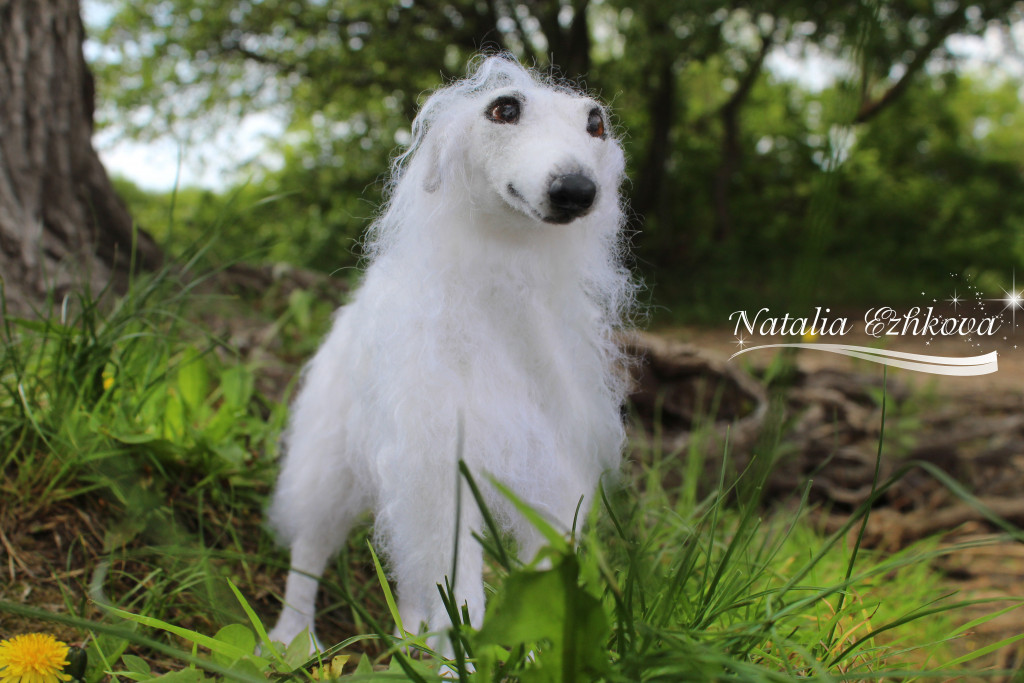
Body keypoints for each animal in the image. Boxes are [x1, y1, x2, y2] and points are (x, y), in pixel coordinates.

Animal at [267, 54, 633, 652]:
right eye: (504, 109)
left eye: (595, 122)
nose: (577, 189)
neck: (503, 293)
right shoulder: (441, 471)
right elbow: (461, 596)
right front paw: (456, 662)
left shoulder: (554, 476)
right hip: (328, 463)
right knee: (309, 551)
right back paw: (292, 639)